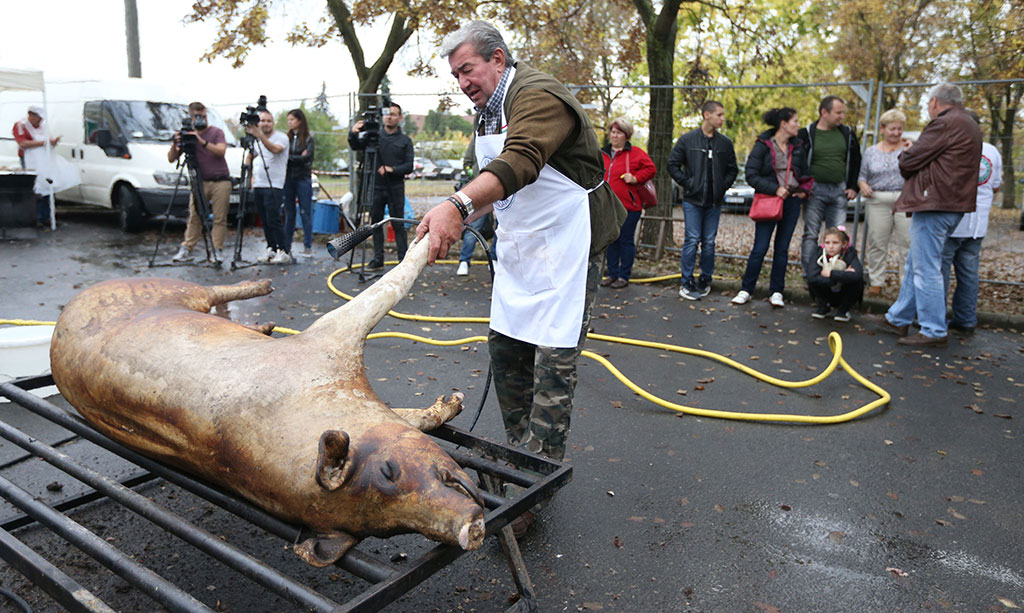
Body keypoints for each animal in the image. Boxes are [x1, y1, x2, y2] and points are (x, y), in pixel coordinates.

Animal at [49, 236, 489, 564]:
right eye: (388, 475)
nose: (471, 528)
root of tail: (62, 316)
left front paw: (454, 401)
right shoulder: (330, 338)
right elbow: (388, 288)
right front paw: (457, 399)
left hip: (173, 294)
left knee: (216, 298)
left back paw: (264, 320)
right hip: (171, 290)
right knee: (213, 290)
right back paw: (265, 289)